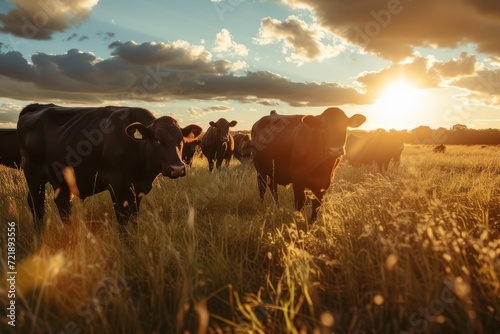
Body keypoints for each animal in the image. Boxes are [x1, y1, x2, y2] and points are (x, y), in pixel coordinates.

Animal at [17, 103, 201, 236]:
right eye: (156, 139)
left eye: (180, 140)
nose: (177, 169)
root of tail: (38, 106)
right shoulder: (117, 186)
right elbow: (123, 220)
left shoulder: (136, 190)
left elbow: (133, 219)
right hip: (33, 173)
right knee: (37, 205)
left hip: (60, 180)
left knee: (63, 205)